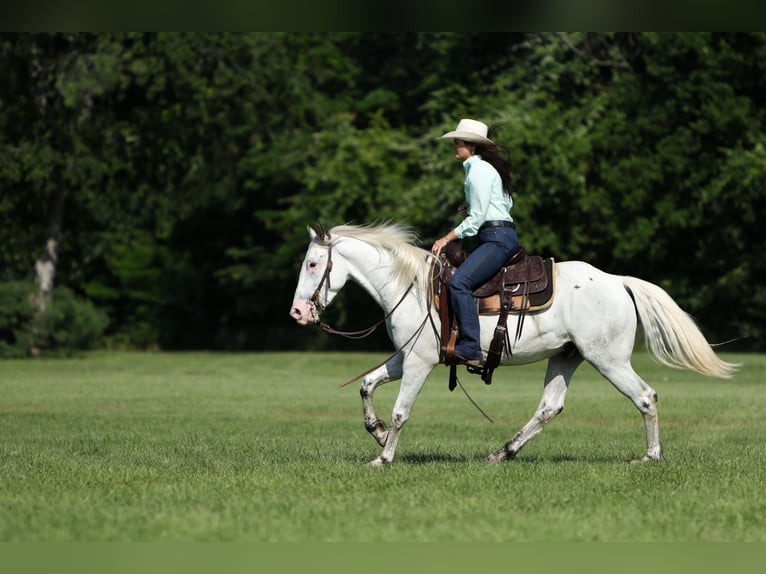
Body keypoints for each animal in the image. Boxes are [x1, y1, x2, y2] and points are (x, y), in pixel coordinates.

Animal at [290, 222, 736, 468]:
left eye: (312, 263)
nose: (297, 312)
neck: (412, 287)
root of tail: (618, 281)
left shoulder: (418, 362)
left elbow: (401, 411)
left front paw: (383, 457)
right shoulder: (407, 357)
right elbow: (367, 386)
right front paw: (379, 434)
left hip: (608, 360)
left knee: (645, 396)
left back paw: (650, 457)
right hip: (567, 357)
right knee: (549, 408)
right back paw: (503, 452)